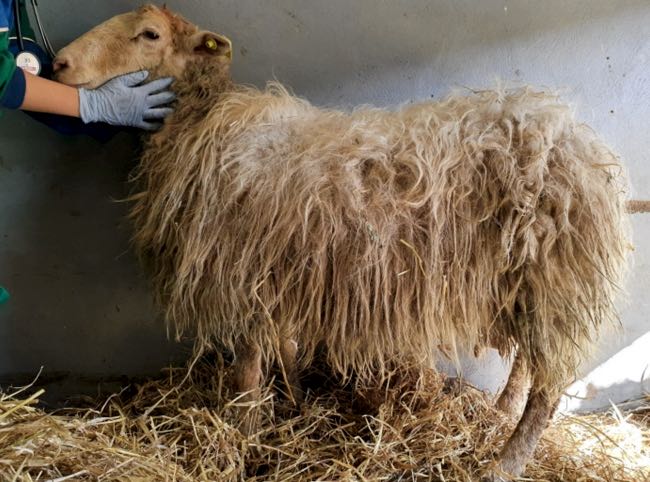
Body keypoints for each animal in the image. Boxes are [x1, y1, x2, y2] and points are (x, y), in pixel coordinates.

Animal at [54, 5, 632, 479]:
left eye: (149, 34)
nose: (58, 65)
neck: (203, 120)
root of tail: (580, 142)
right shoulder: (280, 275)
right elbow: (284, 352)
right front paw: (294, 404)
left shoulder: (242, 272)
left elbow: (247, 372)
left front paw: (242, 439)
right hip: (526, 283)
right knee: (527, 369)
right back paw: (496, 416)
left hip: (557, 279)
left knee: (548, 391)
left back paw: (503, 465)